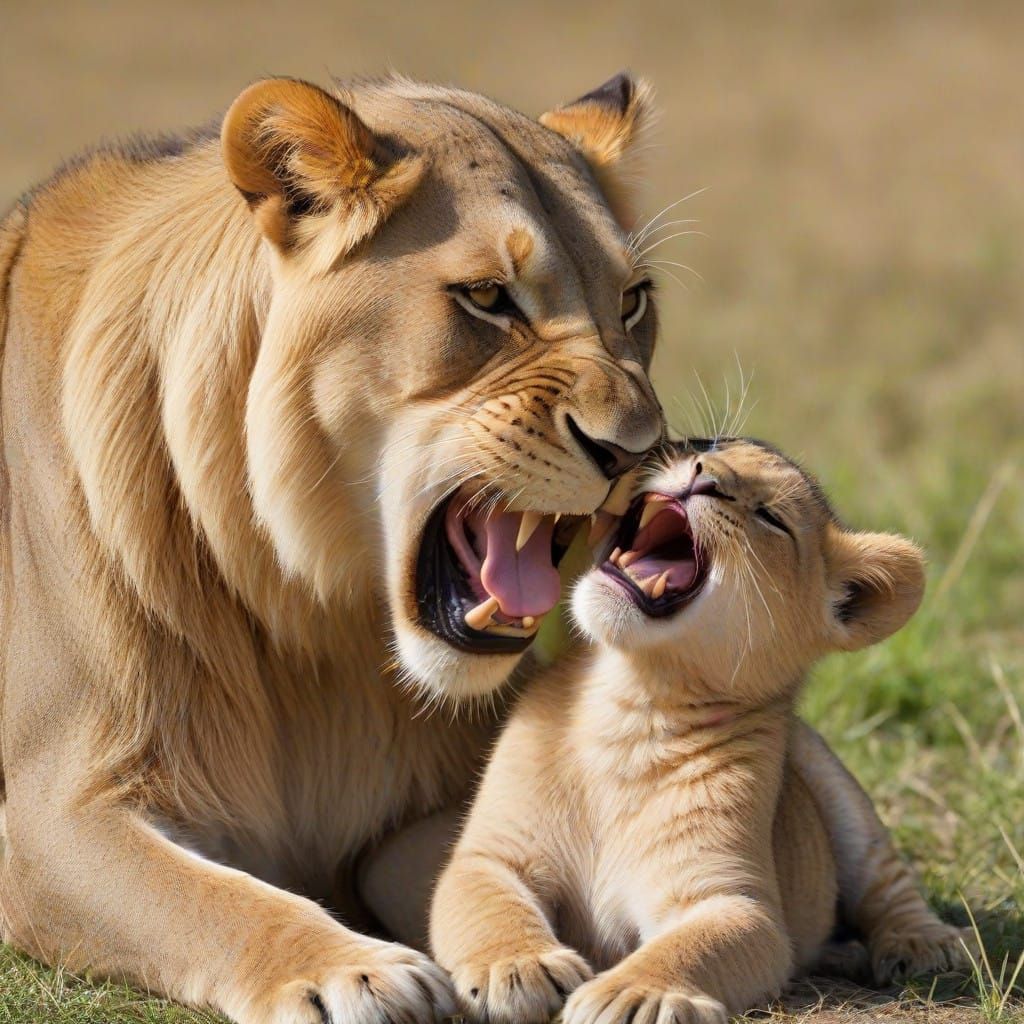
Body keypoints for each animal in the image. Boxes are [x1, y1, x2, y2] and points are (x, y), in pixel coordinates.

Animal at [429, 438, 969, 1023]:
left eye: (771, 517)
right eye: (709, 448)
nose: (704, 475)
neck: (626, 702)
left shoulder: (732, 898)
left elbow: (690, 946)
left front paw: (634, 995)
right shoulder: (491, 855)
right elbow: (486, 905)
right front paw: (516, 966)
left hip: (835, 785)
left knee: (887, 881)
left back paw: (920, 944)